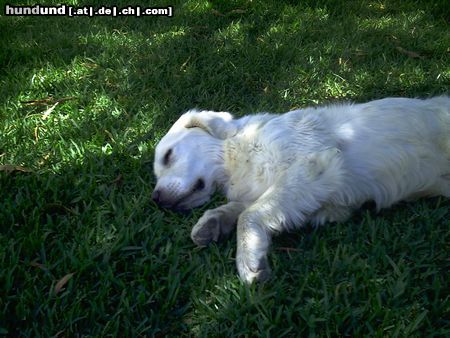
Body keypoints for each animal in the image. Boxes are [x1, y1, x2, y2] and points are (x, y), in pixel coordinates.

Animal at [152, 96, 450, 284]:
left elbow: (248, 214)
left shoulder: (313, 165)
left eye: (168, 156)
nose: (156, 200)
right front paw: (211, 223)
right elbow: (243, 208)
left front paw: (248, 259)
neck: (239, 150)